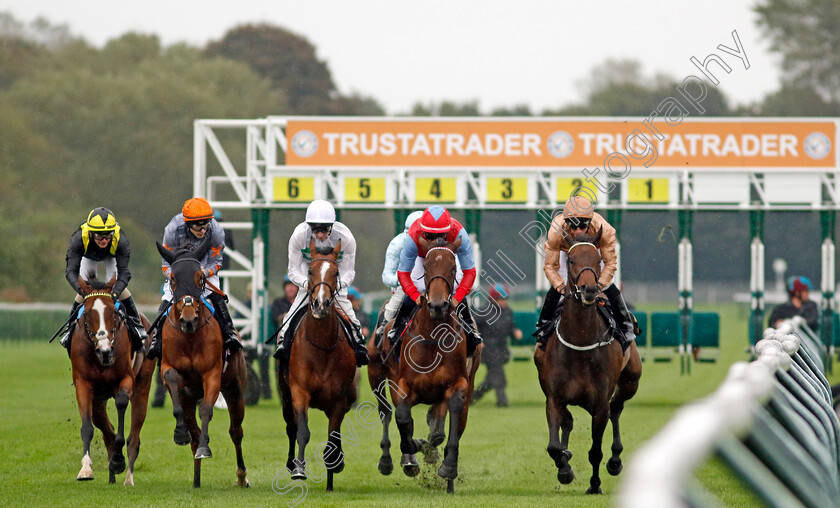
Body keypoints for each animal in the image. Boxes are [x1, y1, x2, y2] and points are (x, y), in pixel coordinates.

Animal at [69, 276, 155, 486]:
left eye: (114, 313)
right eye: (87, 314)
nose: (106, 350)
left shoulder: (126, 379)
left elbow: (122, 404)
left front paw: (118, 460)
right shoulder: (83, 385)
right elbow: (87, 427)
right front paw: (85, 469)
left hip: (142, 384)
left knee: (134, 436)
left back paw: (127, 478)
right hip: (98, 399)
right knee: (107, 431)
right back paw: (111, 476)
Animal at [156, 240, 249, 490]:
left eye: (200, 277)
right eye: (173, 278)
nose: (188, 319)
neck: (189, 337)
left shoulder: (212, 374)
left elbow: (207, 409)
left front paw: (205, 449)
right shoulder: (167, 367)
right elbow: (172, 380)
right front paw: (180, 434)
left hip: (235, 389)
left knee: (236, 431)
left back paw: (241, 476)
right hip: (189, 397)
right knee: (193, 429)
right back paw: (196, 477)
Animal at [274, 239, 356, 492]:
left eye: (336, 272)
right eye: (310, 271)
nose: (320, 304)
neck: (322, 349)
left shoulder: (339, 400)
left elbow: (332, 440)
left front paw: (333, 471)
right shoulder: (299, 392)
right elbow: (302, 431)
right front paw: (299, 469)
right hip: (285, 395)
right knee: (291, 427)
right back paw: (291, 463)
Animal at [370, 236, 482, 494]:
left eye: (452, 268)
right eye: (427, 267)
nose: (438, 305)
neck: (433, 337)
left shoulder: (457, 383)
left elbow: (445, 429)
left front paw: (446, 466)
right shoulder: (402, 385)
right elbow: (403, 419)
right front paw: (412, 451)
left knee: (445, 423)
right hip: (376, 375)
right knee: (386, 412)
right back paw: (391, 459)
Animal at [532, 229, 644, 492]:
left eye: (598, 260)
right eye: (572, 260)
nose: (590, 290)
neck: (580, 344)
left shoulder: (600, 404)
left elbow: (595, 451)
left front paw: (594, 484)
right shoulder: (553, 398)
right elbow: (554, 446)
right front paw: (565, 468)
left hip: (630, 382)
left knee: (617, 408)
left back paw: (615, 460)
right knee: (570, 420)